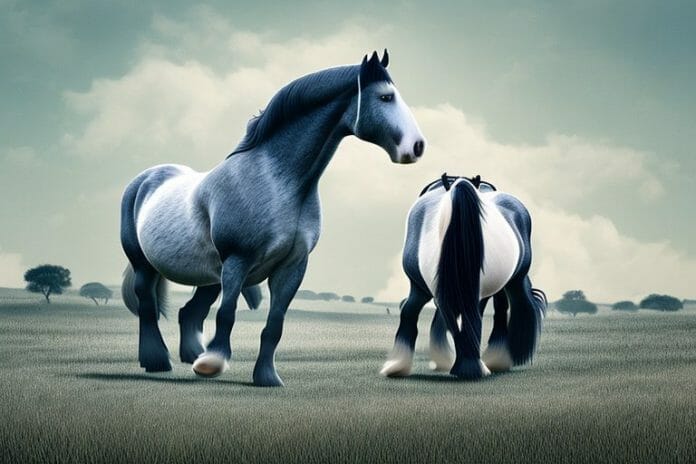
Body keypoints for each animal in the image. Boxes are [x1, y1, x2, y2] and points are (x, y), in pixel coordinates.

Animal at [120, 50, 426, 386]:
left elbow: (275, 324)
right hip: (145, 265)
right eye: (385, 97)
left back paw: (192, 357)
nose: (417, 146)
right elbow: (227, 314)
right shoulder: (237, 261)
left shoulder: (292, 267)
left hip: (210, 276)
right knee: (147, 307)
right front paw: (213, 364)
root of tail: (146, 179)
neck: (276, 183)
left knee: (189, 312)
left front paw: (266, 376)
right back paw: (158, 361)